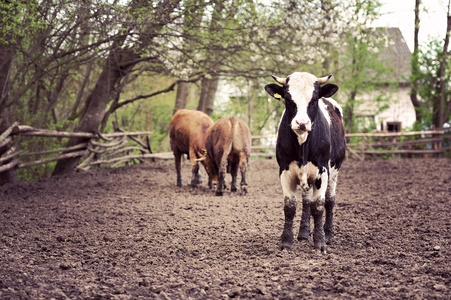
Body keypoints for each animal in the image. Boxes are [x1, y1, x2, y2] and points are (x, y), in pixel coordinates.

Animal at [264, 71, 346, 252]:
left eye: (314, 99)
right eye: (288, 98)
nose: (302, 123)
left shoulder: (322, 172)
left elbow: (319, 206)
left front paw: (320, 242)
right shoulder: (285, 172)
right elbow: (290, 207)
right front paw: (286, 241)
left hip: (334, 171)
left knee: (330, 200)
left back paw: (328, 233)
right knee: (306, 201)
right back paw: (303, 233)